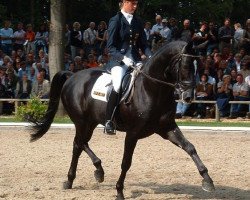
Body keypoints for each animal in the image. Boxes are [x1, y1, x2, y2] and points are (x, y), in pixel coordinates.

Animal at [28, 41, 214, 200]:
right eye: (186, 65)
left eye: (199, 67)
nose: (188, 97)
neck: (152, 89)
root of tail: (72, 75)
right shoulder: (132, 133)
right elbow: (126, 162)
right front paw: (119, 191)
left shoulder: (167, 128)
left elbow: (190, 147)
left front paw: (207, 180)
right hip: (81, 122)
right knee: (77, 144)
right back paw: (71, 179)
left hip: (90, 122)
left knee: (81, 143)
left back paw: (96, 171)